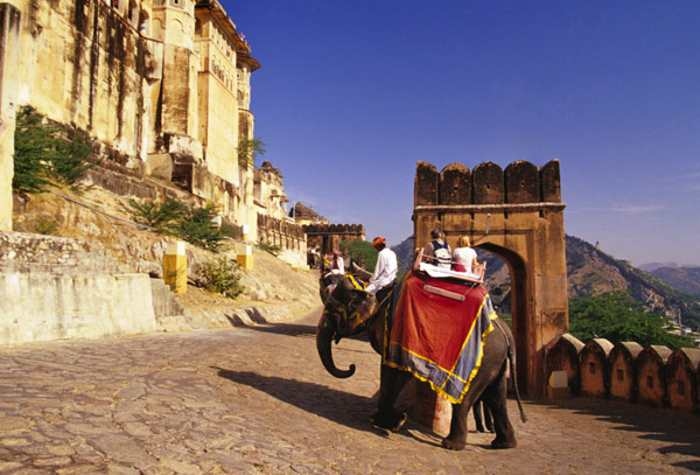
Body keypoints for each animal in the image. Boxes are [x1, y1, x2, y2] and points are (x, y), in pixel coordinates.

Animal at [316, 275, 526, 450]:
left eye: (333, 312)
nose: (352, 366)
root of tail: (506, 332)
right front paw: (388, 420)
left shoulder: (396, 331)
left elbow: (394, 371)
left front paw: (387, 422)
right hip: (495, 363)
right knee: (496, 397)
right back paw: (503, 444)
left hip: (481, 361)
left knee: (466, 400)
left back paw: (451, 445)